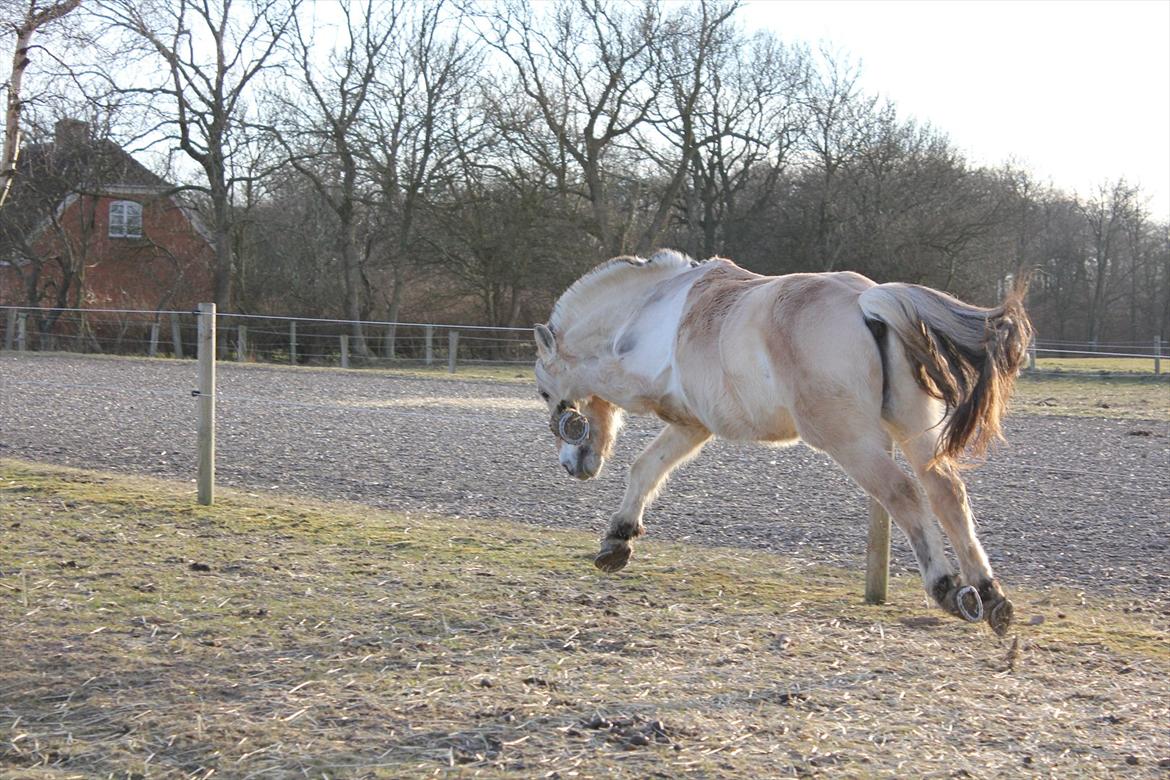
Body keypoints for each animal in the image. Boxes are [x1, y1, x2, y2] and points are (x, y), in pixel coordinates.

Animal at [535, 250, 1029, 636]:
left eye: (543, 393)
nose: (572, 465)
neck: (645, 315)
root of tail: (867, 302)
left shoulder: (658, 403)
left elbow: (626, 432)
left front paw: (617, 539)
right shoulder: (693, 425)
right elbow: (646, 468)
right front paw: (617, 542)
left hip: (851, 441)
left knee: (903, 493)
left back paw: (947, 587)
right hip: (913, 432)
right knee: (946, 494)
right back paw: (989, 596)